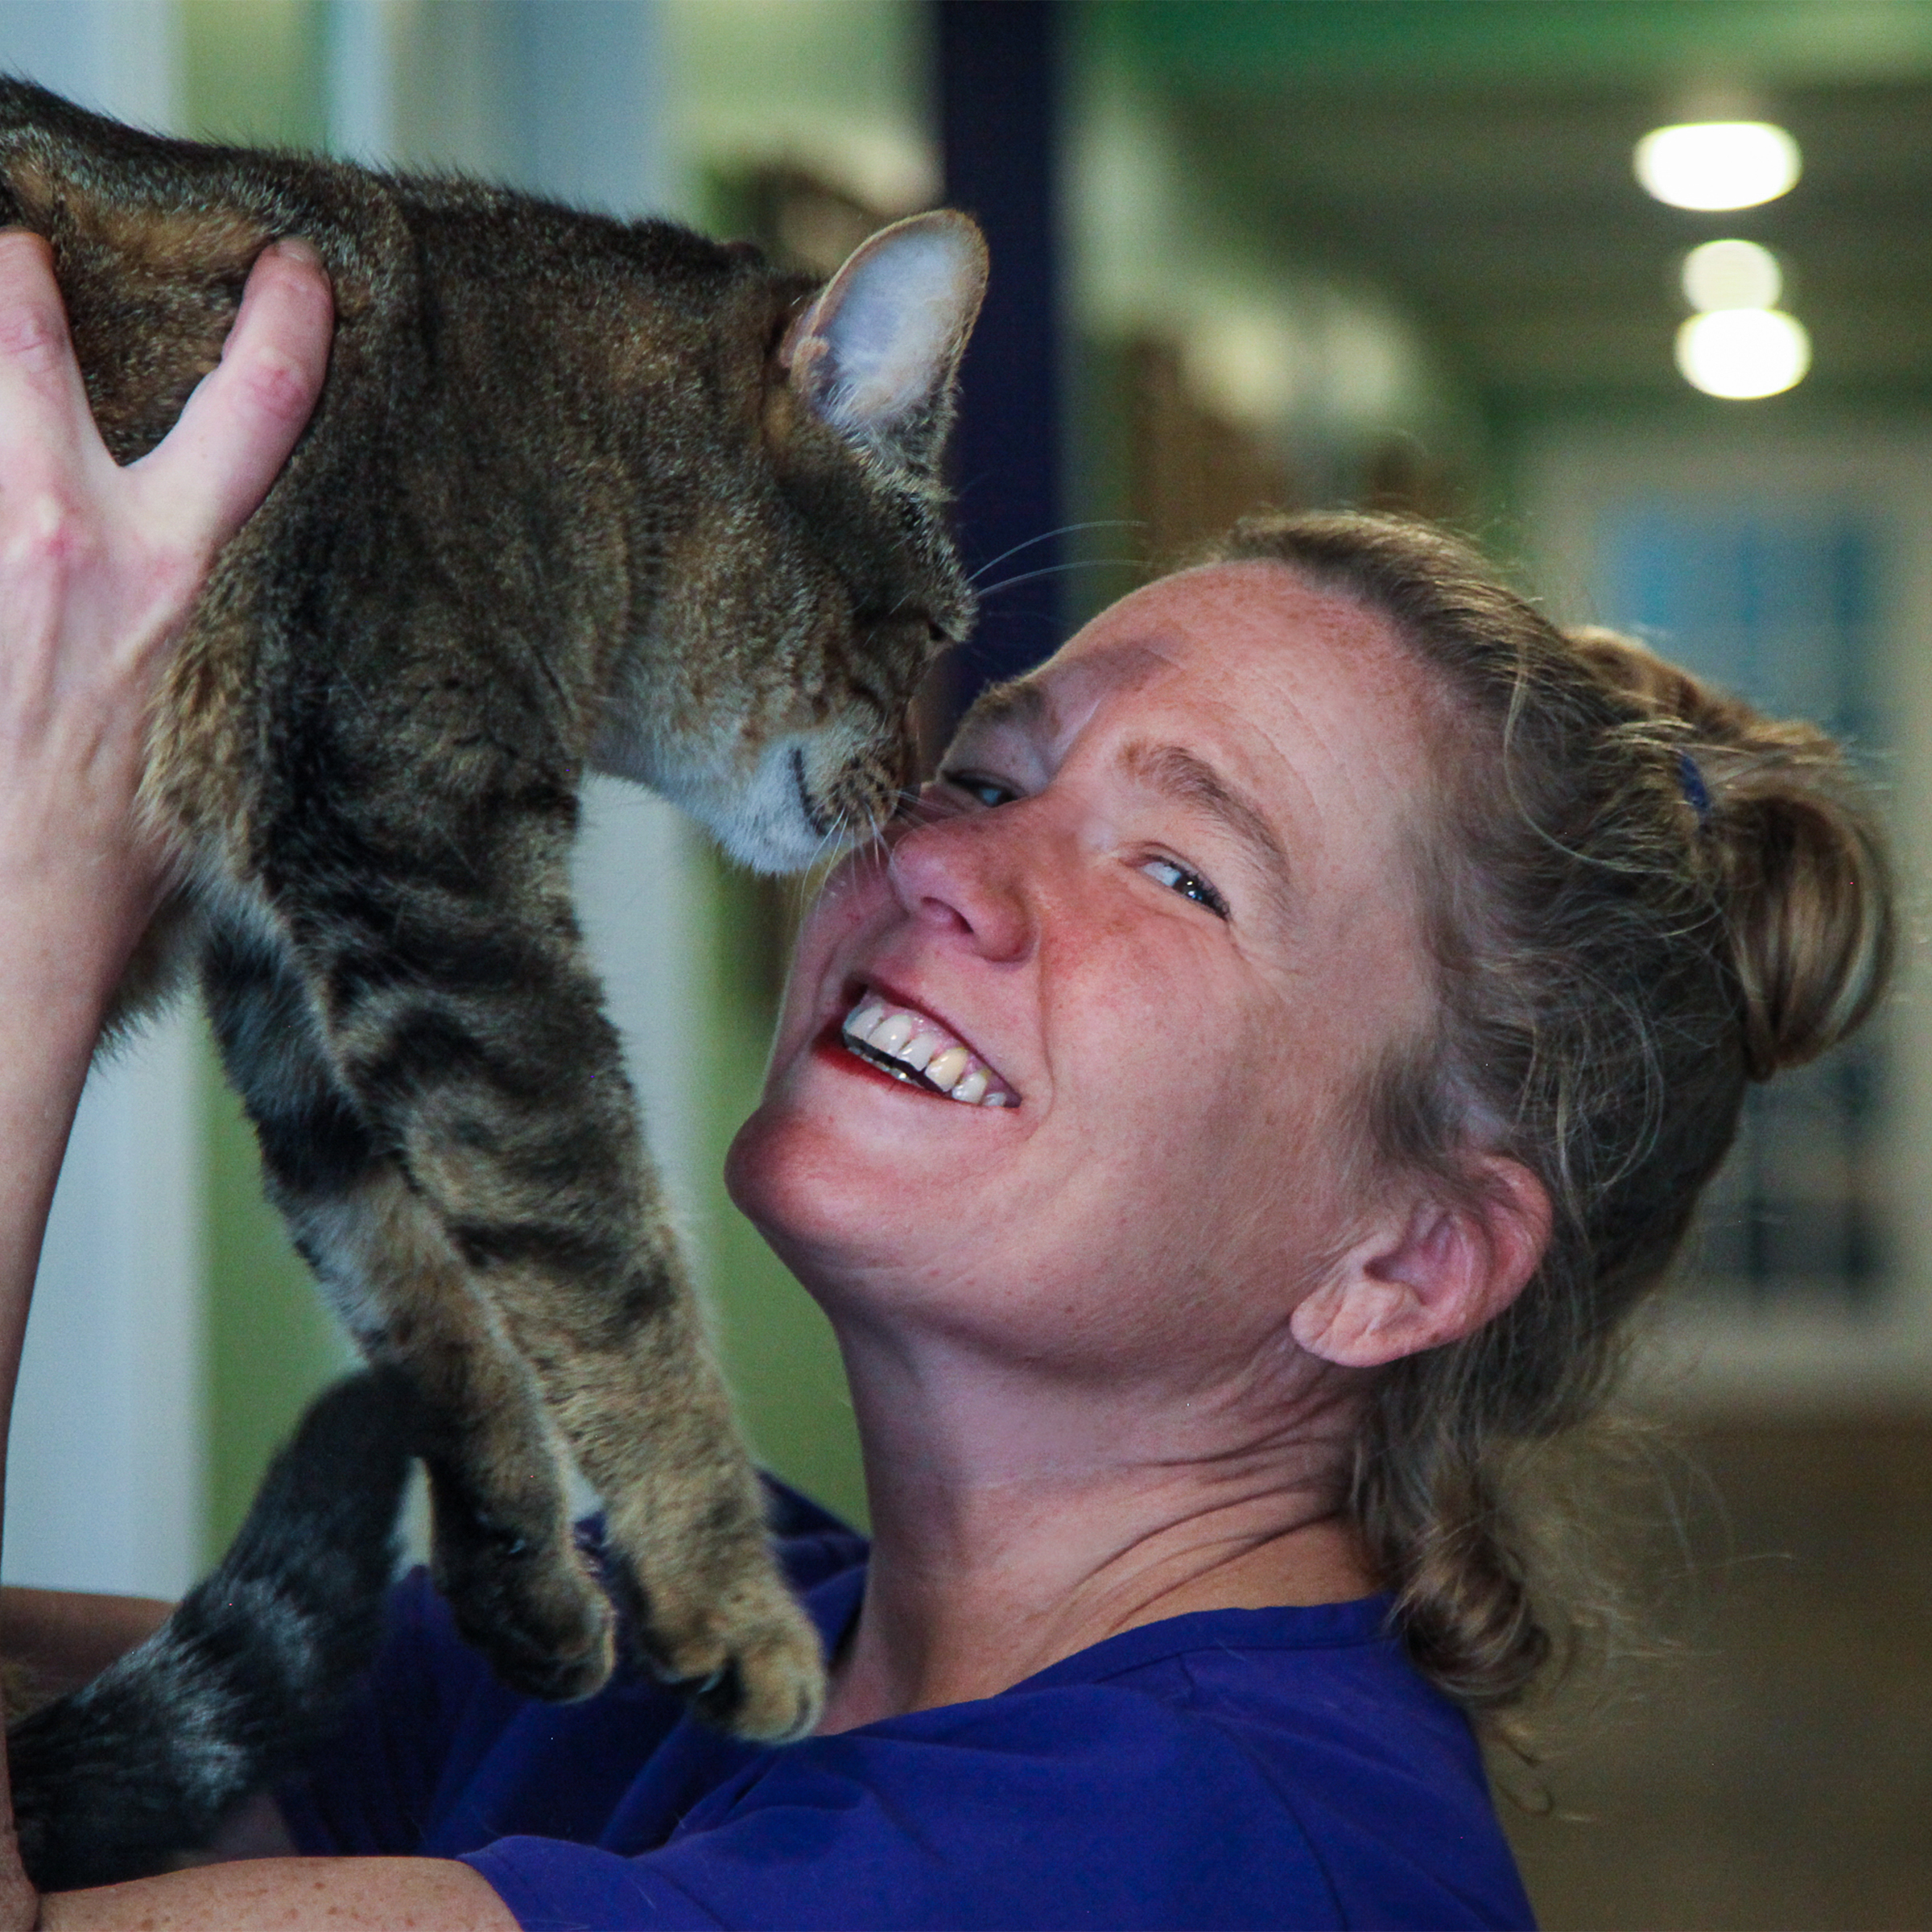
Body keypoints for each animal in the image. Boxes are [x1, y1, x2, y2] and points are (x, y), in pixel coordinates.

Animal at [0, 71, 989, 1739]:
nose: (912, 796)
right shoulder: (440, 894)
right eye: (926, 635)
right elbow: (613, 1276)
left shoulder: (300, 968)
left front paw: (520, 1569)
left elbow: (411, 1279)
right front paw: (734, 1602)